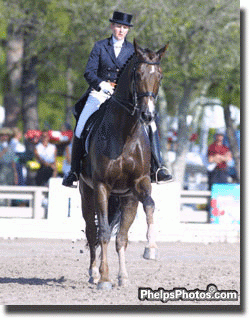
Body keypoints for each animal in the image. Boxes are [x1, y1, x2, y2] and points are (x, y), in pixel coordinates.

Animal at [78, 40, 168, 290]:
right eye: (137, 74)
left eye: (160, 75)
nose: (148, 115)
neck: (125, 132)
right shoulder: (101, 186)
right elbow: (103, 232)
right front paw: (104, 278)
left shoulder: (140, 183)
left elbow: (149, 207)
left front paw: (150, 250)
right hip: (87, 192)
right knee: (93, 231)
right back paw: (94, 273)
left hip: (126, 198)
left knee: (120, 237)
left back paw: (122, 275)